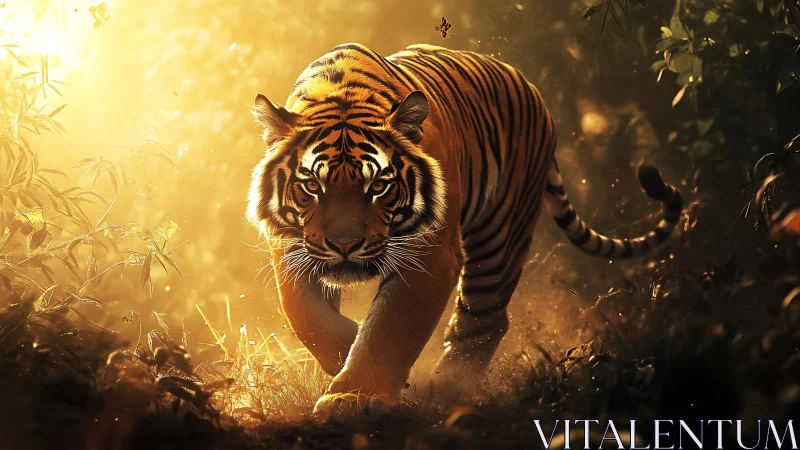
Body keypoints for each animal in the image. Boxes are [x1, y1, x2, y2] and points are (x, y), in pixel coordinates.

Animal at [247, 43, 683, 418]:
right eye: (311, 186)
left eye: (379, 186)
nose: (344, 244)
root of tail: (527, 83)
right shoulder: (290, 250)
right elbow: (307, 317)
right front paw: (345, 351)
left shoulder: (430, 255)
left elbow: (389, 327)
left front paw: (353, 396)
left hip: (500, 236)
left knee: (484, 318)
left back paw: (447, 390)